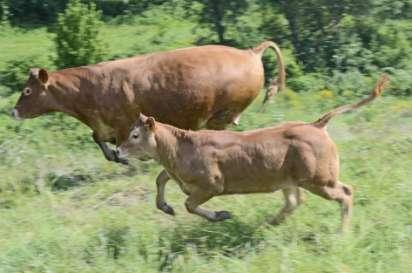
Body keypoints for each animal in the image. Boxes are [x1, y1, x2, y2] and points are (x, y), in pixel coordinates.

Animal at [11, 41, 284, 164]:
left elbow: (119, 146)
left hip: (220, 115)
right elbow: (98, 139)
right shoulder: (104, 127)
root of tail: (249, 52)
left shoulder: (124, 125)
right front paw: (116, 157)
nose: (13, 111)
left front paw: (126, 159)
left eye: (27, 90)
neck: (90, 88)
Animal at [116, 75, 390, 231]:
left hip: (319, 179)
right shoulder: (176, 174)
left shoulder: (212, 184)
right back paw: (267, 225)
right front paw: (165, 207)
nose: (118, 151)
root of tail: (315, 125)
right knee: (294, 201)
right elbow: (161, 178)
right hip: (291, 180)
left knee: (346, 193)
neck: (179, 148)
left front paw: (222, 215)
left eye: (135, 135)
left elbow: (189, 204)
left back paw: (341, 233)